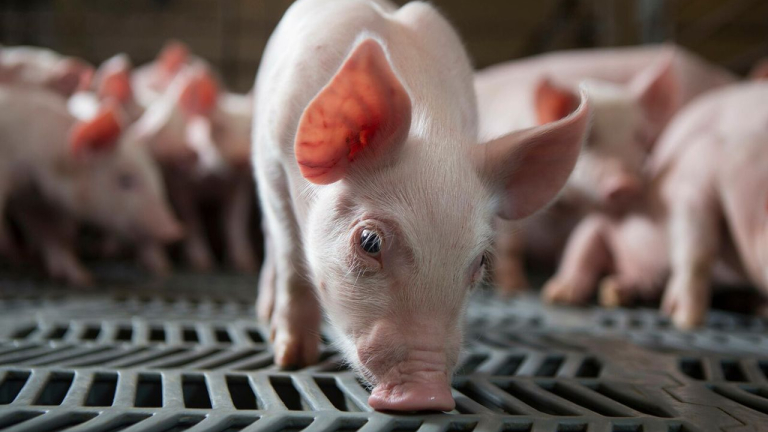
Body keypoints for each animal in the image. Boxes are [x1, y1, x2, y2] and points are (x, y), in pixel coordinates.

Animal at [0, 85, 182, 285]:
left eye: (156, 176)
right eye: (125, 179)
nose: (174, 230)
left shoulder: (34, 198)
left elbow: (52, 234)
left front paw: (83, 279)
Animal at [253, 0, 590, 412]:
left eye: (480, 261)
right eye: (369, 242)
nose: (427, 393)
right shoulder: (273, 162)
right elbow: (290, 260)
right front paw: (292, 360)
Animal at [474, 45, 736, 294]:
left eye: (641, 137)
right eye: (588, 140)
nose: (626, 184)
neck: (565, 208)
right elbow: (511, 245)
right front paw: (516, 289)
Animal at [542, 81, 768, 329]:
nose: (625, 185)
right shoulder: (698, 182)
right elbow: (698, 252)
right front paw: (684, 321)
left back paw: (615, 292)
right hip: (601, 227)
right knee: (582, 247)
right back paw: (560, 294)